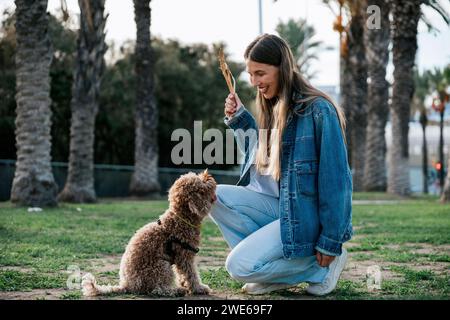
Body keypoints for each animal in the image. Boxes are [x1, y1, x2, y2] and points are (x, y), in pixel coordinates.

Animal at [83, 170, 219, 298]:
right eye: (201, 185)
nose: (208, 175)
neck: (180, 218)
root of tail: (127, 285)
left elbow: (184, 276)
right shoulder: (185, 256)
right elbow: (191, 274)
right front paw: (199, 288)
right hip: (161, 266)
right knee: (157, 289)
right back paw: (176, 291)